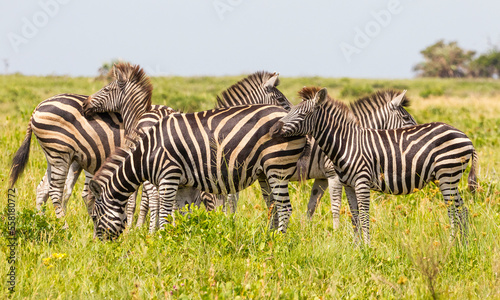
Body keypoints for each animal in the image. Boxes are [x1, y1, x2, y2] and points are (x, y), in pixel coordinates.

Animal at [90, 104, 308, 240]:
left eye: (94, 217)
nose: (99, 246)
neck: (148, 152)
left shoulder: (169, 175)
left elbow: (165, 213)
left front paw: (161, 241)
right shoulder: (183, 185)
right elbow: (181, 214)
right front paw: (181, 240)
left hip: (277, 165)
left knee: (285, 207)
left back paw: (279, 242)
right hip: (265, 172)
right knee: (273, 206)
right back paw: (267, 237)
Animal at [272, 86, 478, 244]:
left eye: (303, 114)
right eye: (290, 111)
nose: (274, 129)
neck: (346, 142)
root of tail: (466, 136)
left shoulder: (360, 182)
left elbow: (362, 214)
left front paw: (367, 247)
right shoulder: (348, 184)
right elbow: (354, 215)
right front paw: (356, 247)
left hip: (447, 175)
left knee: (453, 210)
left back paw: (452, 244)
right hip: (447, 178)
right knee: (463, 209)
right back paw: (464, 244)